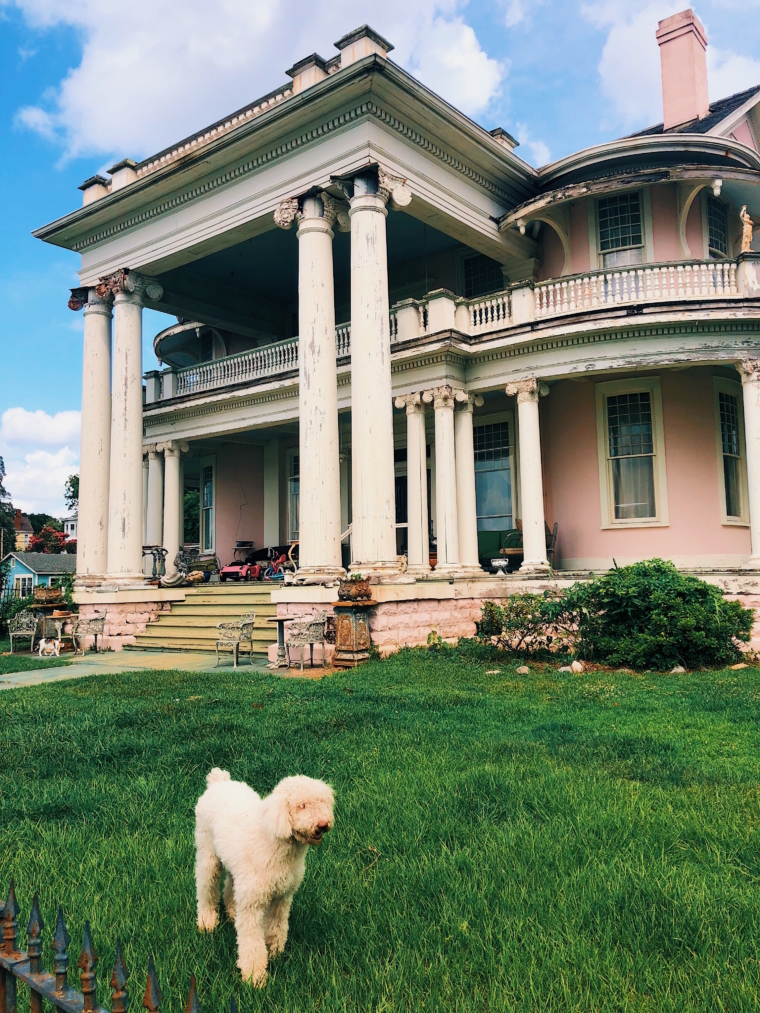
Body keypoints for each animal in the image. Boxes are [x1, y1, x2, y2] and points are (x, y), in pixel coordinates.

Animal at [194, 769, 334, 984]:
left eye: (322, 802)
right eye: (301, 806)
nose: (323, 824)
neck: (275, 843)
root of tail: (218, 782)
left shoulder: (282, 897)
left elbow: (277, 926)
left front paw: (274, 951)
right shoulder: (253, 903)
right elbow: (251, 941)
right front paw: (254, 976)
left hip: (236, 867)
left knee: (230, 884)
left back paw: (232, 910)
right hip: (208, 854)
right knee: (206, 887)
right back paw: (207, 921)